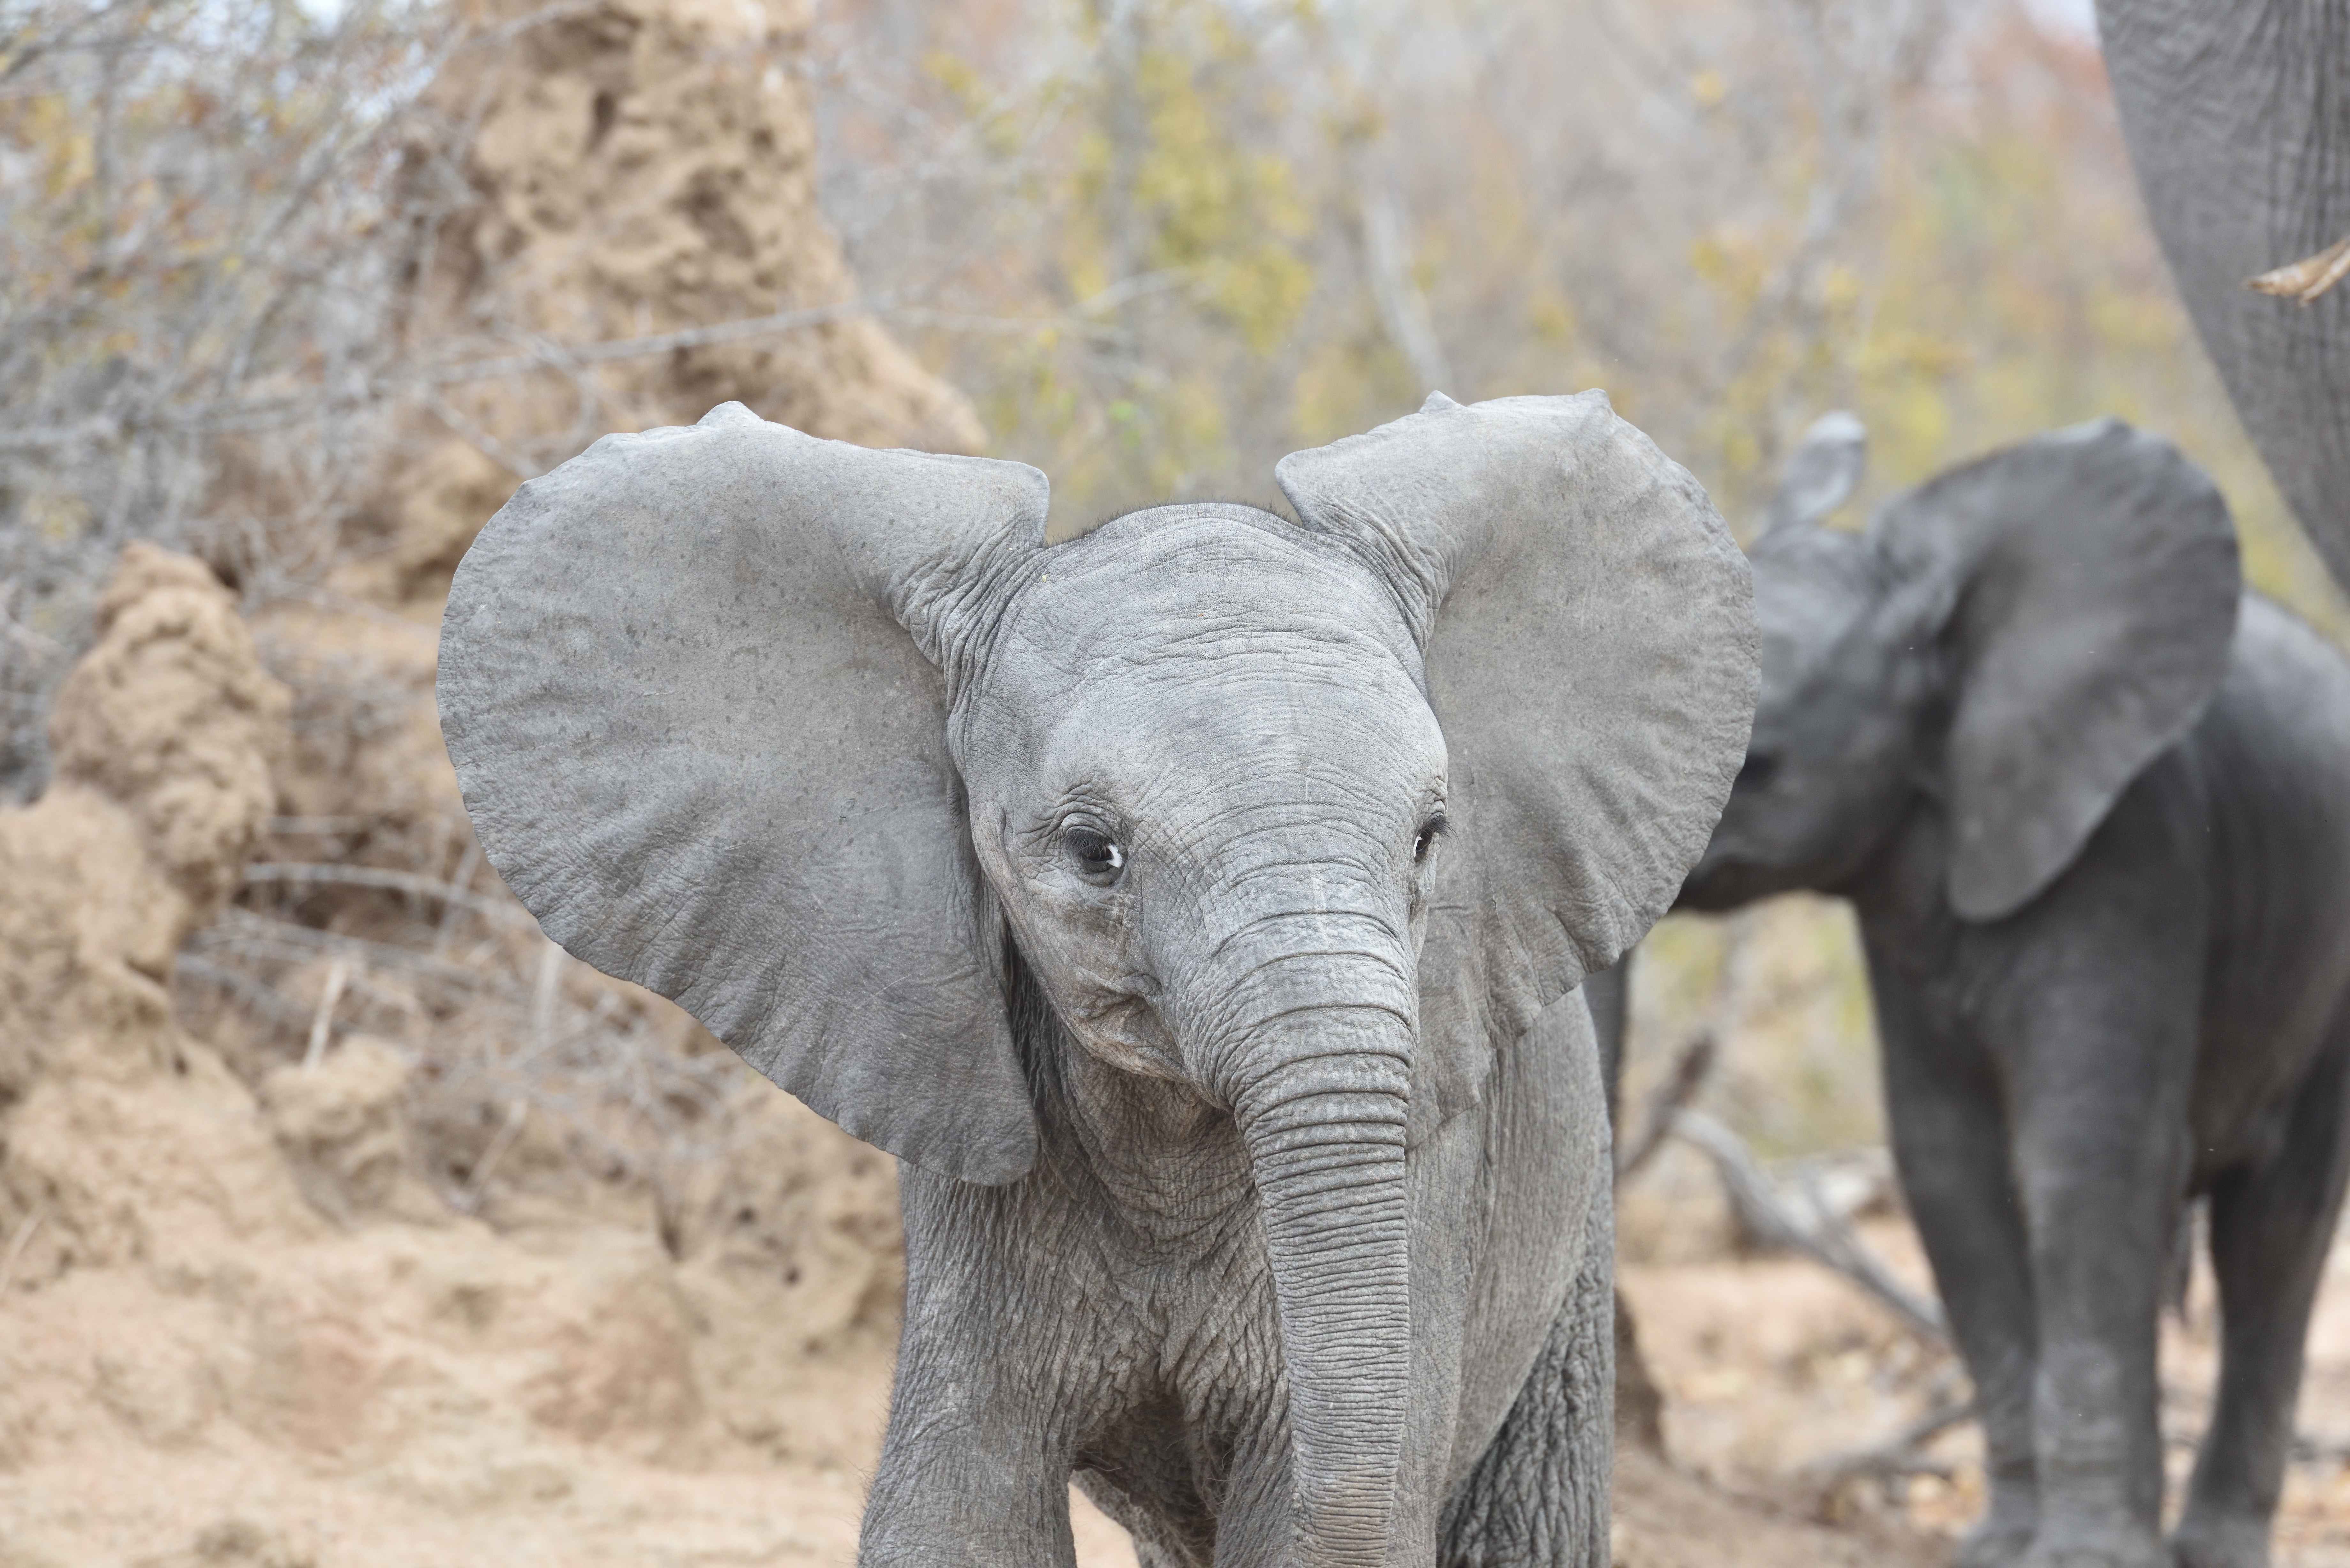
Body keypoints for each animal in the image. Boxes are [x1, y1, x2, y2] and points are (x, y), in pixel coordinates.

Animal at [1682, 414, 2350, 1568]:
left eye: (1758, 761)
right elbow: (1948, 1168)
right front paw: (2003, 1548)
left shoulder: (2134, 848)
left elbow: (2085, 1164)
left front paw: (2088, 1559)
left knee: (2276, 1228)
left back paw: (2212, 1550)